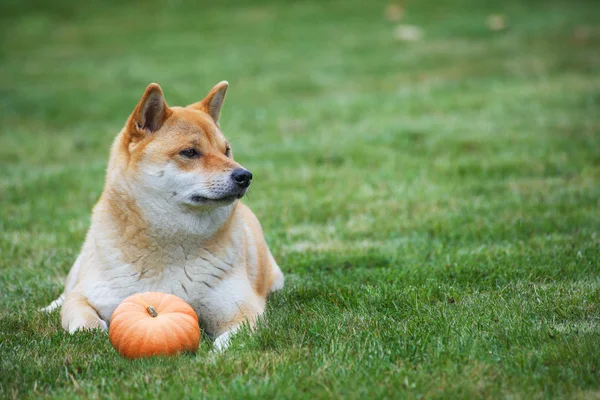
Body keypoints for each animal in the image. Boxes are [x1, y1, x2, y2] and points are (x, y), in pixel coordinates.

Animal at [42, 81, 286, 350]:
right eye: (190, 152)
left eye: (226, 151)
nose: (245, 176)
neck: (168, 245)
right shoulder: (87, 296)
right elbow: (83, 319)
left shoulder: (243, 309)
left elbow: (232, 340)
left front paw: (217, 353)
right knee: (66, 292)